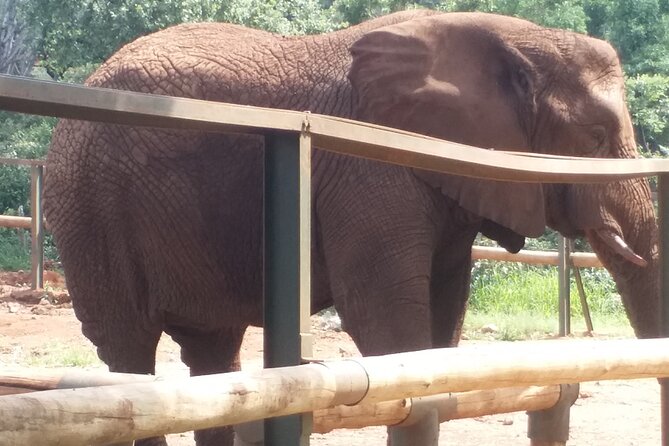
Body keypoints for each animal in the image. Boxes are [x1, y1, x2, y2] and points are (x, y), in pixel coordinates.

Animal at [43, 10, 659, 446]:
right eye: (597, 138)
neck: (511, 34)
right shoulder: (367, 169)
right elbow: (384, 320)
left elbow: (443, 321)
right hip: (89, 206)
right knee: (128, 355)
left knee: (212, 353)